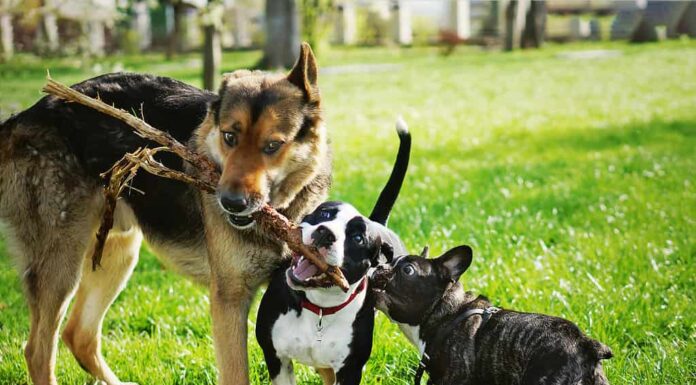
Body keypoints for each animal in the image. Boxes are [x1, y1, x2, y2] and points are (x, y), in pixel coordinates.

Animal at [0, 43, 332, 382]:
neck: (281, 214)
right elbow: (237, 374)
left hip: (116, 253)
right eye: (229, 137)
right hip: (62, 266)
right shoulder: (229, 301)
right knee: (38, 351)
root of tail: (23, 117)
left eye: (273, 146)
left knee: (79, 335)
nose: (230, 203)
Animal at [254, 118, 408, 382]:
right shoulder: (276, 358)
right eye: (325, 214)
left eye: (357, 238)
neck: (319, 308)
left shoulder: (350, 370)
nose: (326, 233)